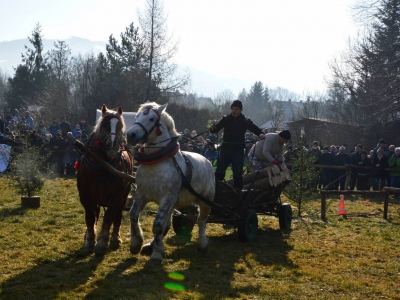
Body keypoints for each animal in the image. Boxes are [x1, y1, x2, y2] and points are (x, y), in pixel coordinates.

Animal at [76, 105, 134, 255]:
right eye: (104, 125)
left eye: (120, 126)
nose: (113, 147)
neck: (102, 165)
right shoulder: (85, 196)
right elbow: (90, 217)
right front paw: (90, 240)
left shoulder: (116, 197)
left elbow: (109, 217)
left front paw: (102, 242)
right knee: (96, 214)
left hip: (124, 194)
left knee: (118, 214)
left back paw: (114, 238)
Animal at [127, 102, 216, 262]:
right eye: (137, 116)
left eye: (151, 118)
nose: (130, 135)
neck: (157, 162)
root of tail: (206, 159)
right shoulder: (141, 194)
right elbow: (133, 215)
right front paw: (136, 244)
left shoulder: (167, 198)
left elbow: (157, 225)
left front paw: (157, 254)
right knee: (167, 223)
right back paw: (151, 245)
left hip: (206, 200)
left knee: (202, 221)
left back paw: (202, 245)